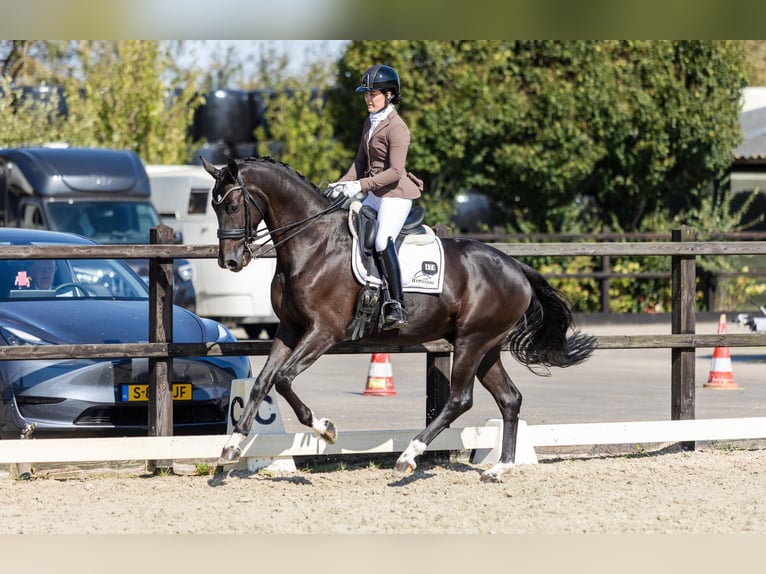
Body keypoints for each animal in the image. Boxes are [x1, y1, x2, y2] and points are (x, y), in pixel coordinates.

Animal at [201, 155, 596, 484]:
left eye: (232, 205)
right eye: (214, 207)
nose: (230, 261)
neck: (314, 244)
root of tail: (515, 266)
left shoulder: (324, 331)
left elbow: (283, 379)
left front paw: (326, 428)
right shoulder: (289, 329)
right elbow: (262, 383)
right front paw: (231, 447)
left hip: (471, 341)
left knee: (460, 399)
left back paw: (408, 456)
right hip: (487, 347)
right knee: (510, 398)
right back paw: (499, 468)